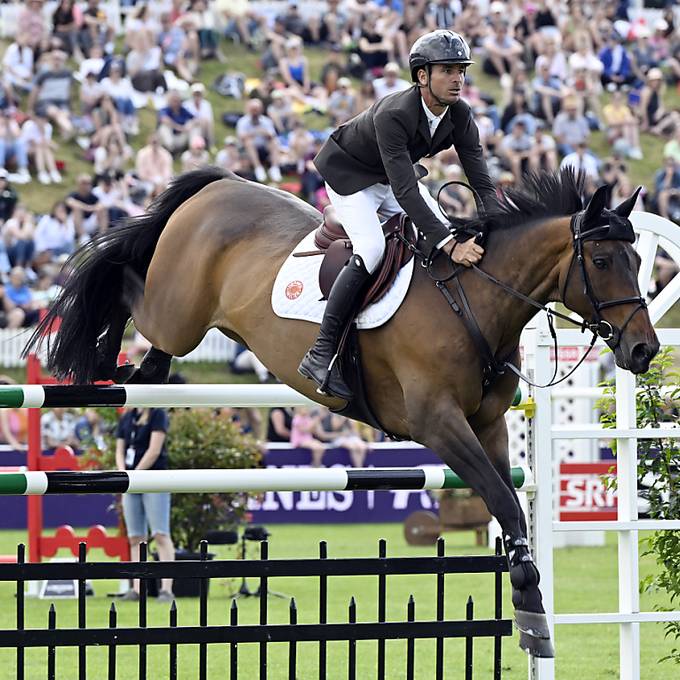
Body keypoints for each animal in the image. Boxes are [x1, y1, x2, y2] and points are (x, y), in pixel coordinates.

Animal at [26, 167, 660, 656]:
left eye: (637, 258)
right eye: (602, 259)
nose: (643, 351)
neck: (474, 299)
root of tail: (221, 184)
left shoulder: (488, 426)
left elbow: (510, 504)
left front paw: (529, 606)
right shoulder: (438, 423)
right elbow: (502, 499)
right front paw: (529, 593)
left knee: (147, 332)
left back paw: (140, 373)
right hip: (177, 312)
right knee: (123, 281)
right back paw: (101, 354)